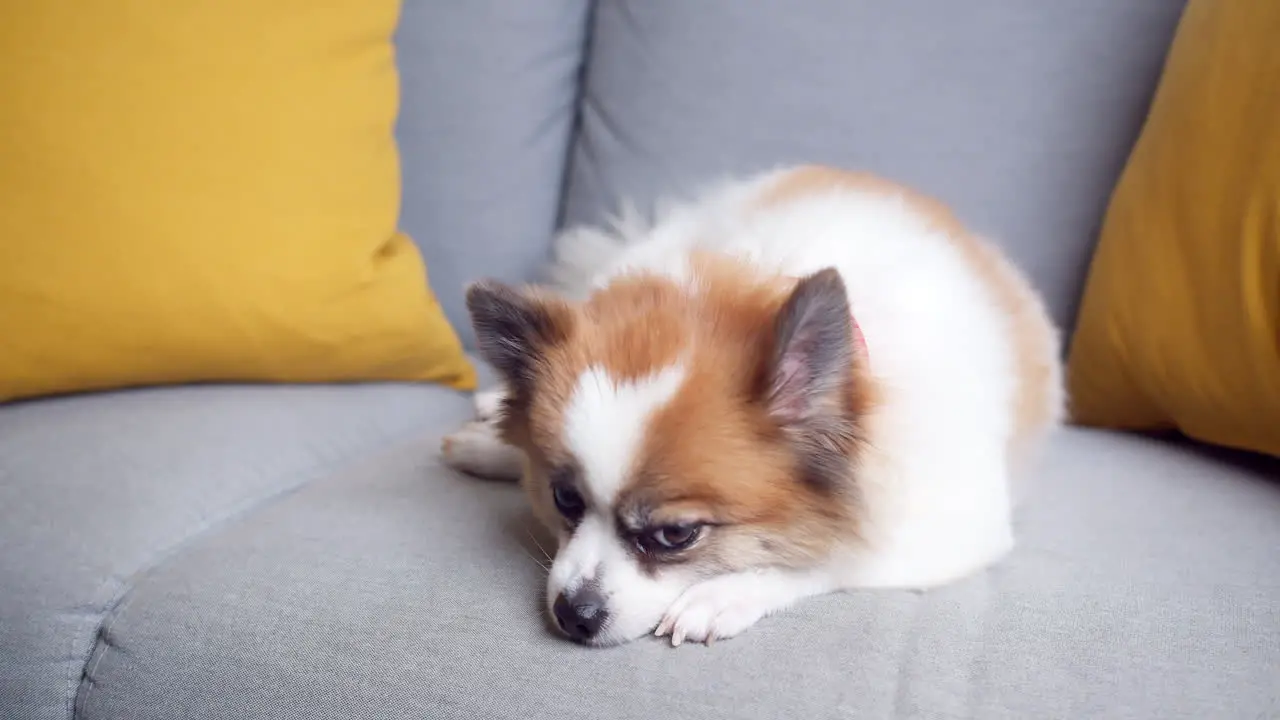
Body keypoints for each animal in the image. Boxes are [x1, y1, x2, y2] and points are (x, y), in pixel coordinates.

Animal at [440, 165, 1059, 648]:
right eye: (564, 500)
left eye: (677, 536)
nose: (575, 614)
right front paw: (498, 445)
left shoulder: (952, 527)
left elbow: (833, 555)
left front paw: (724, 593)